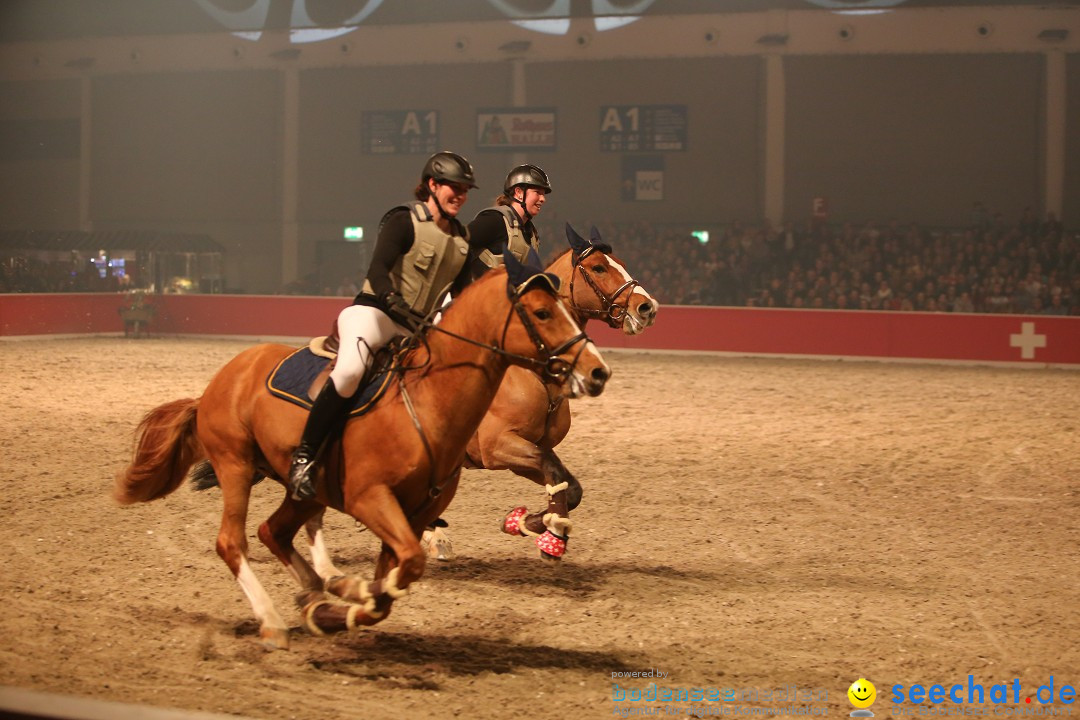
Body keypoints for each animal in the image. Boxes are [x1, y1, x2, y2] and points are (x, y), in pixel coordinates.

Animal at [117, 260, 613, 651]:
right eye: (542, 312)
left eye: (564, 307)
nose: (598, 371)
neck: (427, 399)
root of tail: (222, 379)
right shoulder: (381, 494)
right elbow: (401, 572)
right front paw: (541, 529)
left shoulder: (415, 510)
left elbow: (393, 581)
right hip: (236, 464)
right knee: (234, 541)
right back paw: (276, 620)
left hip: (303, 488)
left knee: (275, 531)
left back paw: (322, 587)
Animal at [304, 222, 656, 569]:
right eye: (598, 267)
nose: (647, 307)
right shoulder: (498, 446)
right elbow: (557, 476)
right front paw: (545, 532)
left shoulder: (527, 452)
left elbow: (569, 488)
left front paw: (533, 526)